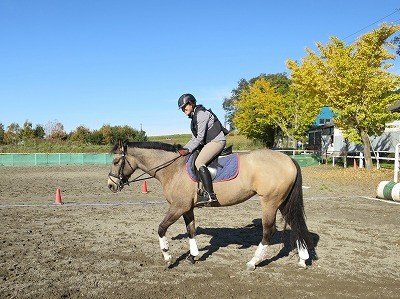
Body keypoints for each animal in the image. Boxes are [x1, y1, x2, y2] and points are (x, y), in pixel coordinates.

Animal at [108, 140, 314, 270]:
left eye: (116, 161)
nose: (111, 185)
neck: (173, 169)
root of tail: (288, 159)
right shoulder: (187, 208)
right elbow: (191, 231)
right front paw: (193, 256)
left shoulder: (177, 207)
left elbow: (161, 228)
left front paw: (167, 256)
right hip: (283, 202)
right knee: (296, 225)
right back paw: (303, 260)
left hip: (270, 202)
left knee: (268, 231)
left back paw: (253, 262)